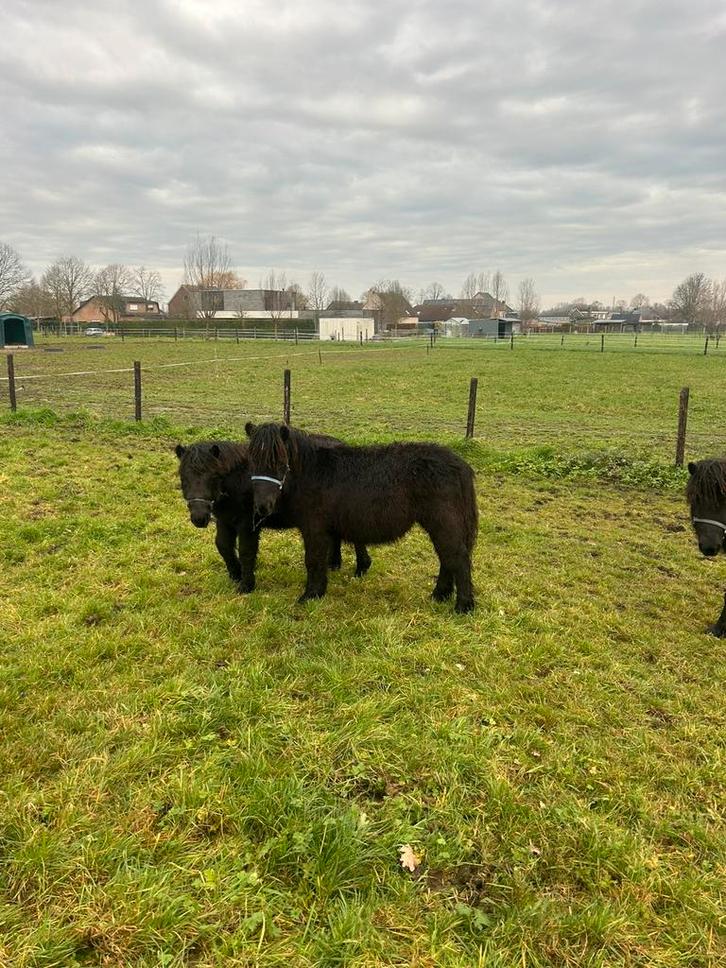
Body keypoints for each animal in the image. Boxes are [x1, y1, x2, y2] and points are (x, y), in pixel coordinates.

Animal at [175, 440, 372, 593]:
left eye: (214, 476)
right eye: (183, 478)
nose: (199, 517)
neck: (239, 480)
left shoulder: (248, 525)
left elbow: (246, 551)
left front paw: (246, 585)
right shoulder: (225, 521)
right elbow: (223, 547)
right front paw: (235, 574)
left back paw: (361, 569)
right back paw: (334, 564)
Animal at [245, 422, 478, 613]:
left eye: (280, 463)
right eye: (252, 462)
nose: (262, 507)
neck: (312, 473)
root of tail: (459, 464)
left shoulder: (314, 529)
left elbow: (312, 560)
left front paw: (311, 595)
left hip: (442, 522)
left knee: (457, 558)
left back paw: (462, 606)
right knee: (447, 558)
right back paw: (440, 595)